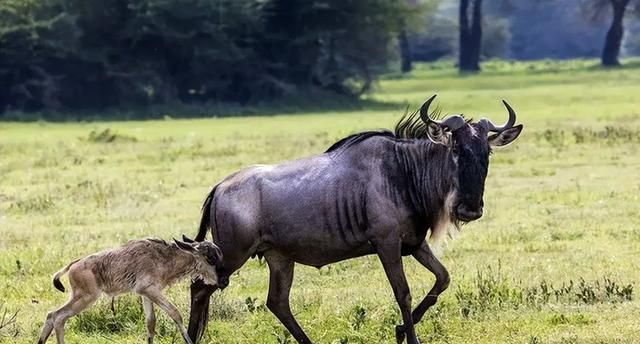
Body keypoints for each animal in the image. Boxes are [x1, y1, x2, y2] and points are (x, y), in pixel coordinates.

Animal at [38, 238, 222, 342]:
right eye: (210, 258)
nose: (222, 281)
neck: (163, 258)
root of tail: (74, 264)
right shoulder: (150, 290)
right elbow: (175, 313)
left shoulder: (146, 294)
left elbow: (150, 323)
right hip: (85, 298)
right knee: (58, 316)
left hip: (80, 298)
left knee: (51, 315)